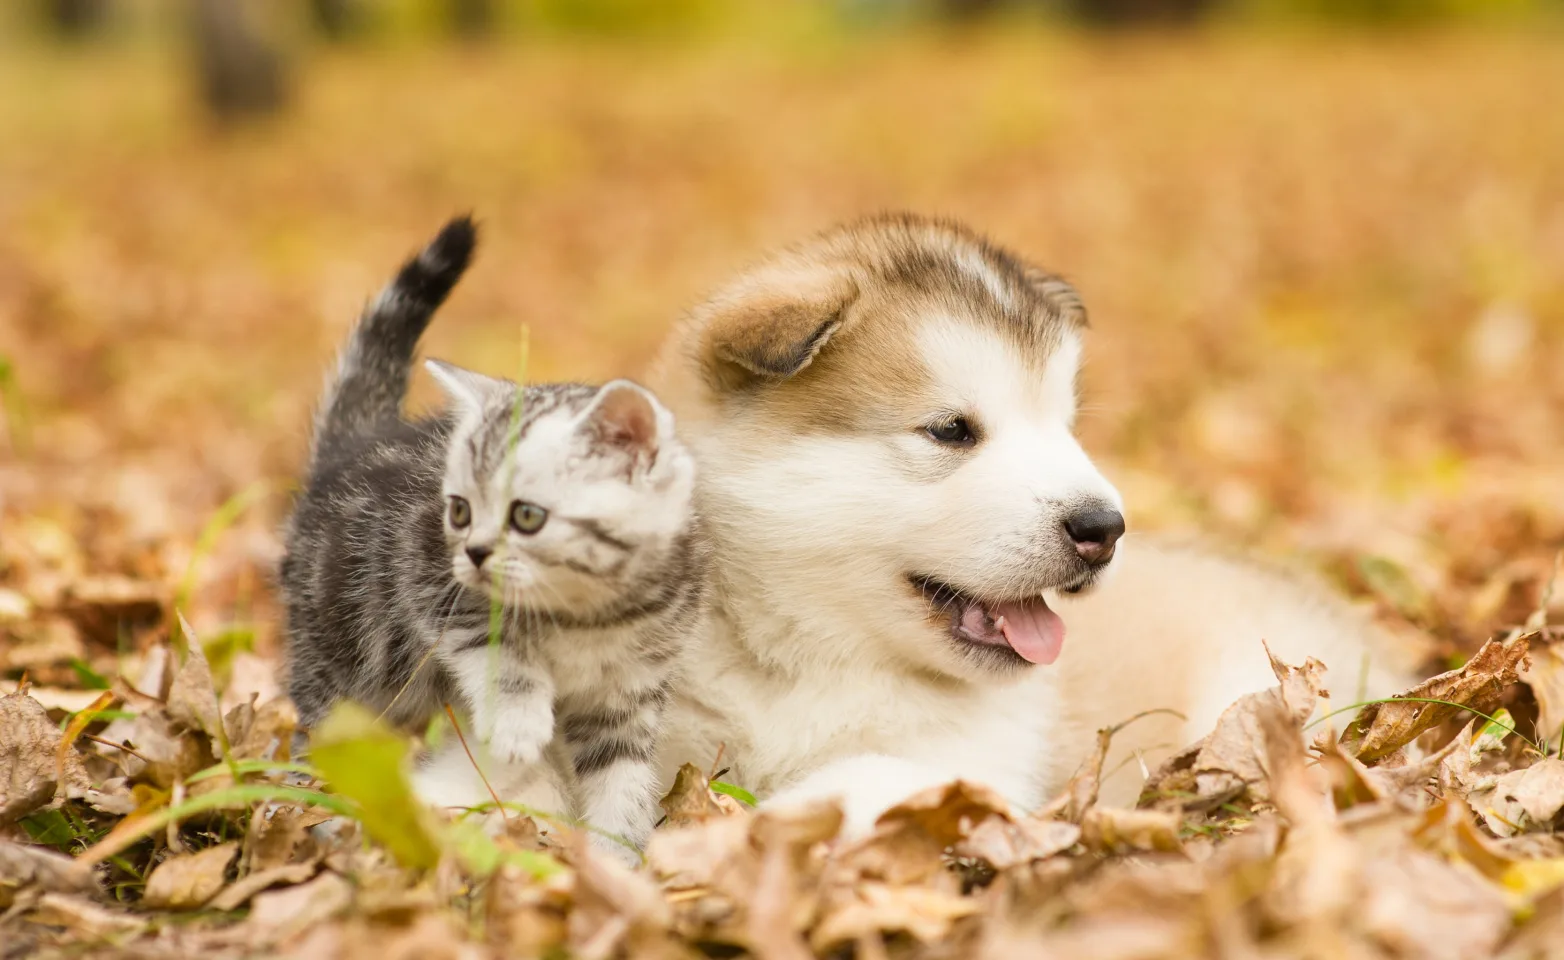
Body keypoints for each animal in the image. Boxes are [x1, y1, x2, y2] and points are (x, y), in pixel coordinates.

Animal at [281, 215, 703, 850]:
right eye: (458, 511)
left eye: (526, 516)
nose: (475, 553)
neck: (593, 614)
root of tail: (347, 450)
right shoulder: (431, 581)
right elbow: (495, 646)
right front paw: (517, 727)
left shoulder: (629, 690)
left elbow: (622, 777)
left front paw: (619, 852)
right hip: (343, 652)